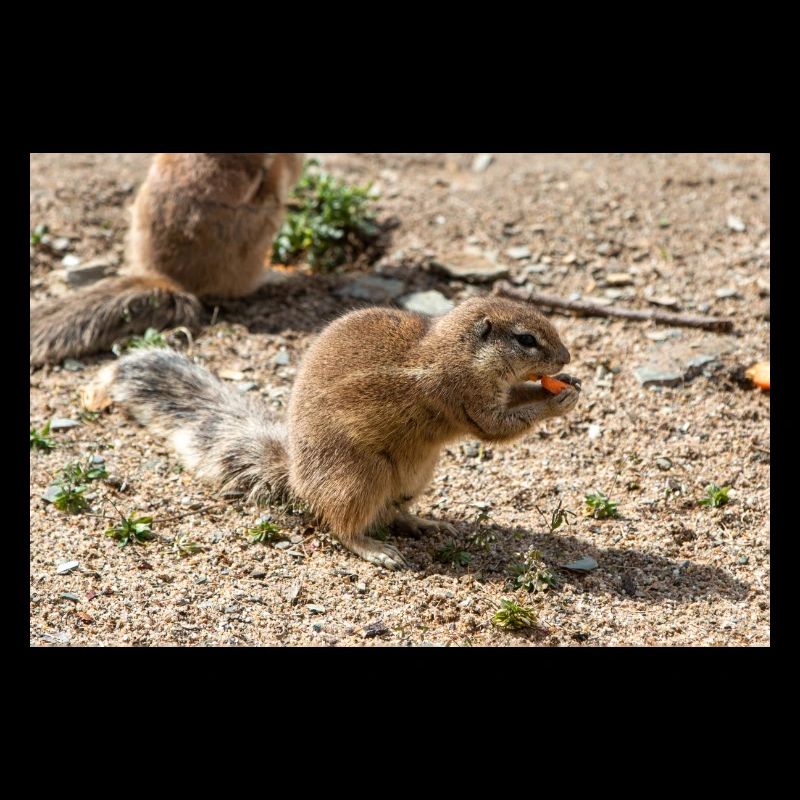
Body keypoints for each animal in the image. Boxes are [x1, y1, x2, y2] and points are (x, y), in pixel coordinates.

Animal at [85, 295, 580, 569]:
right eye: (526, 339)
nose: (567, 356)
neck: (451, 350)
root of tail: (295, 478)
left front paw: (565, 384)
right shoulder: (464, 398)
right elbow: (498, 428)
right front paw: (557, 400)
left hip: (414, 476)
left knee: (392, 511)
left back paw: (424, 522)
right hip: (359, 479)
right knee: (343, 526)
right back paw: (377, 550)